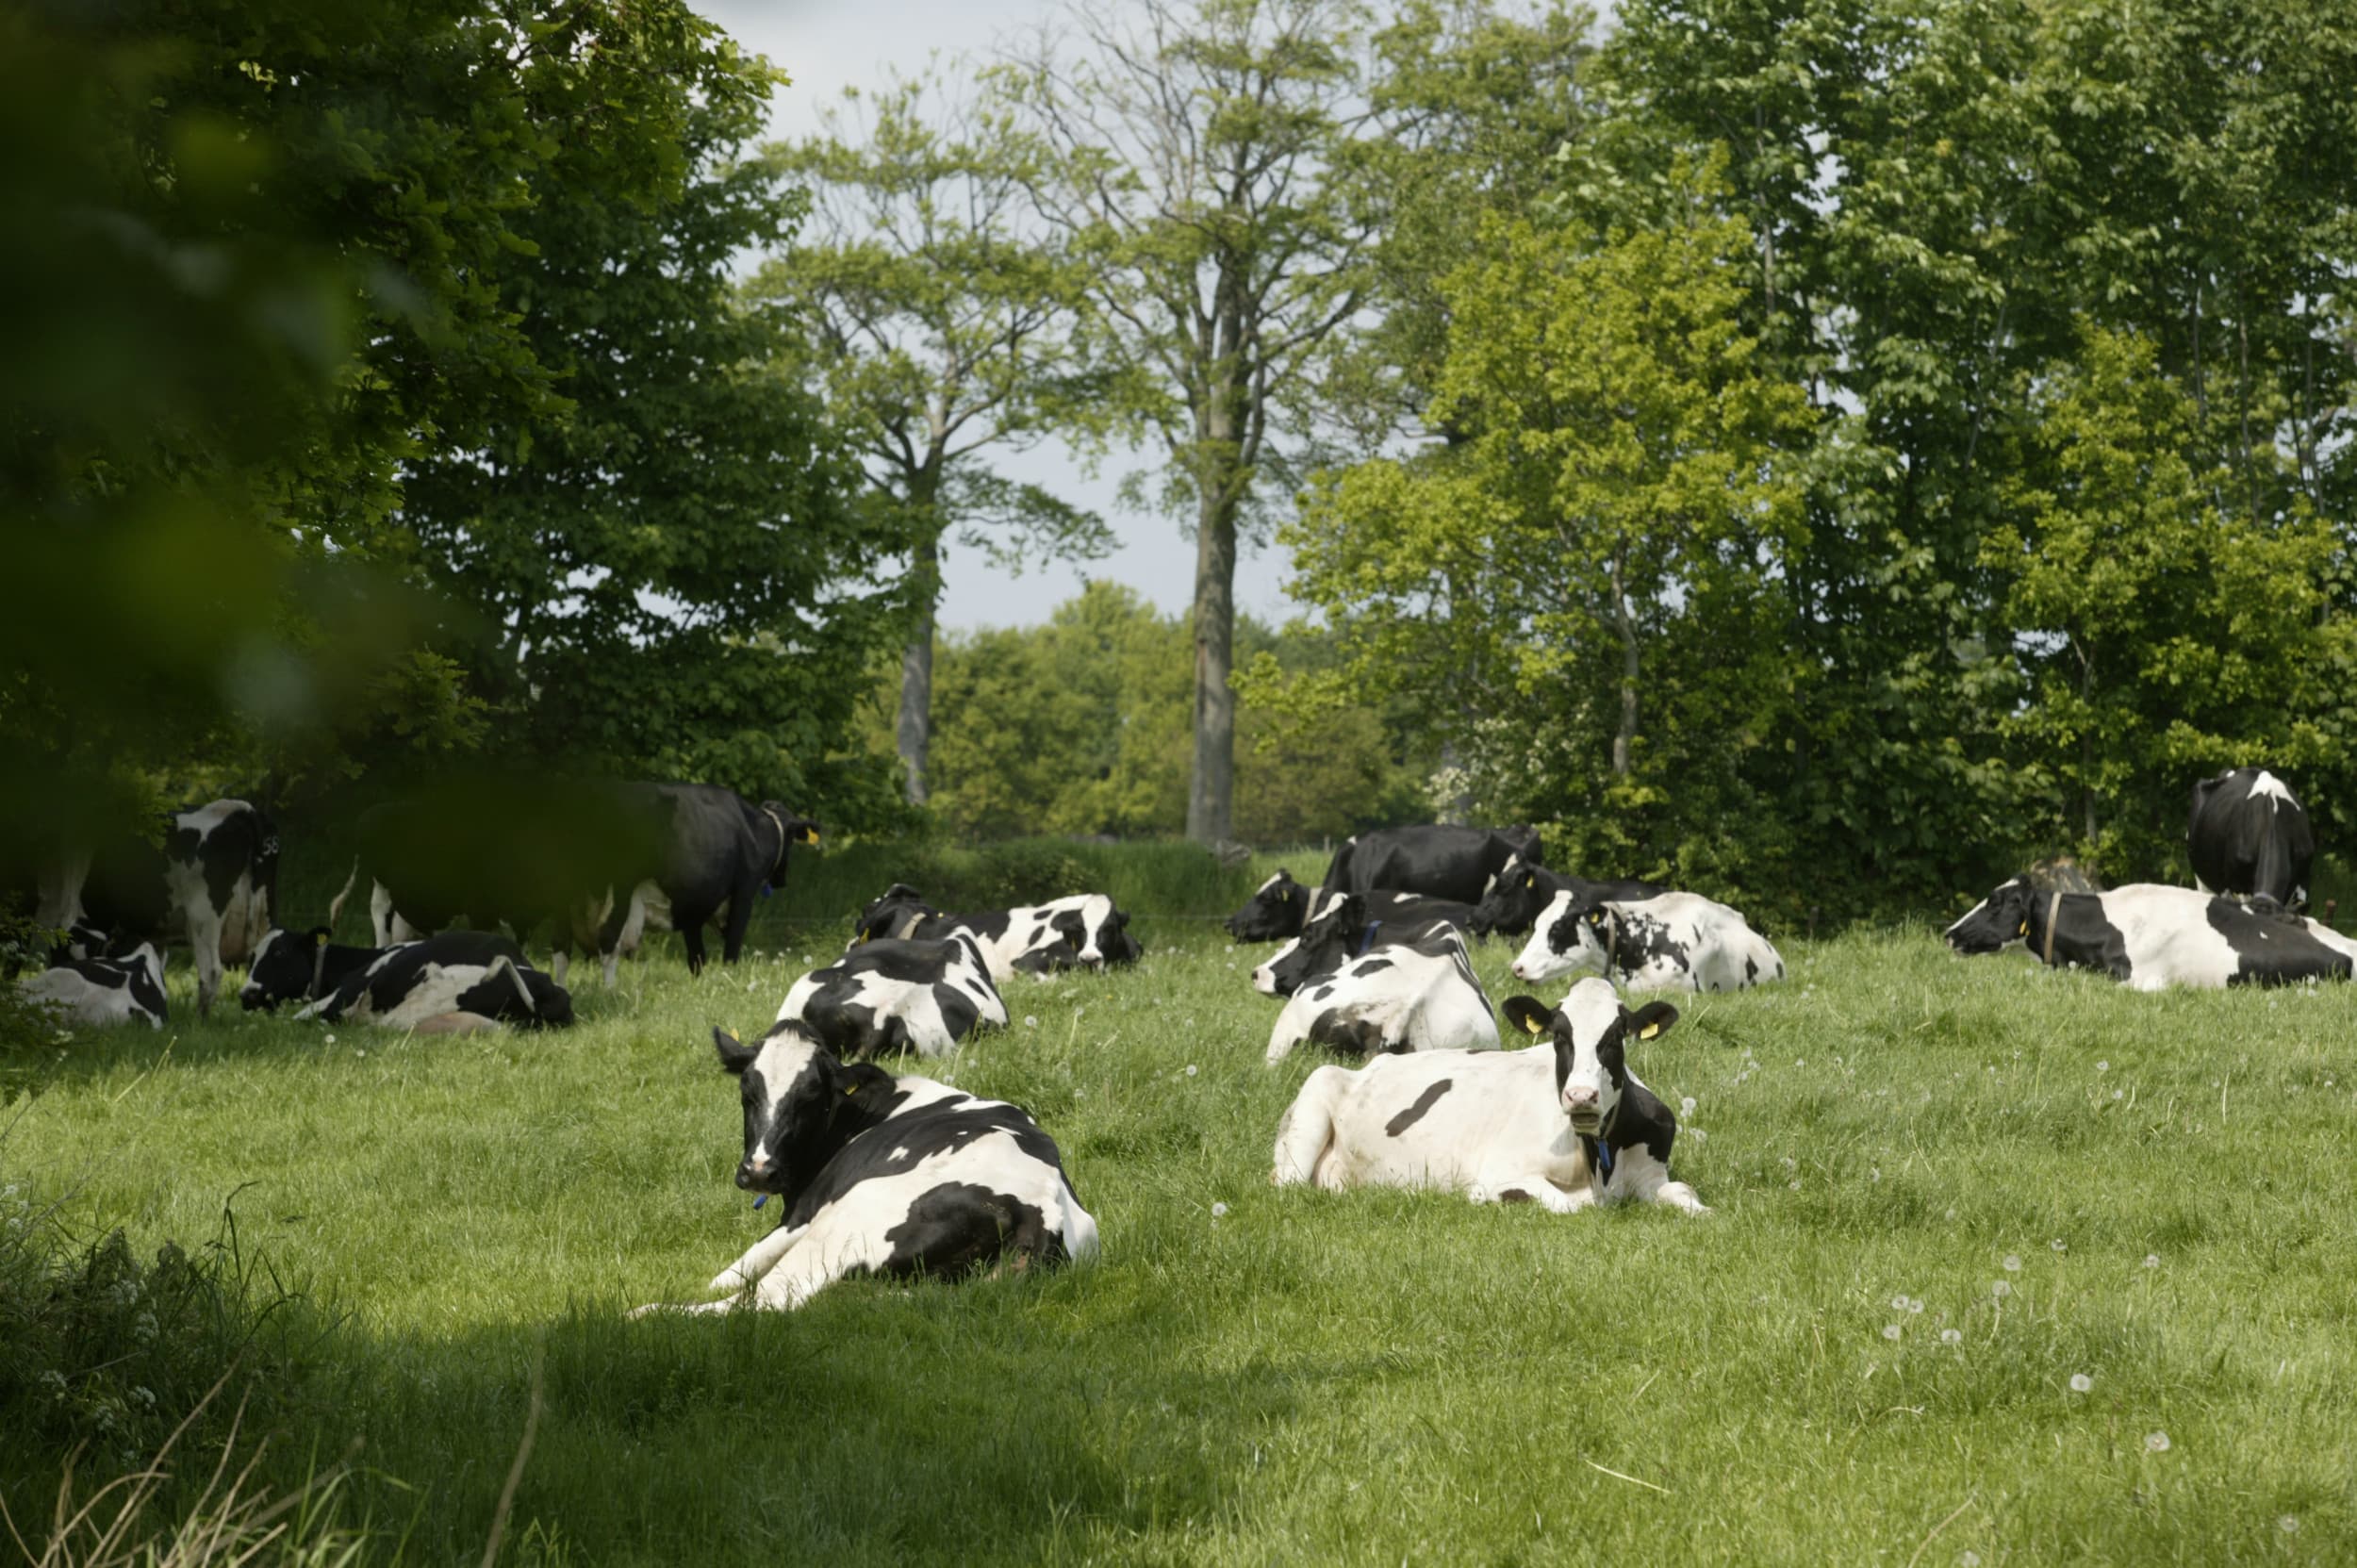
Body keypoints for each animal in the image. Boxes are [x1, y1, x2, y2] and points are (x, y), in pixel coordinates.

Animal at [635, 1022, 1099, 1313]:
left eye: (810, 1098)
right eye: (747, 1093)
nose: (760, 1172)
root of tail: (1043, 1212)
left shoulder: (801, 1215)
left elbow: (729, 1274)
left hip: (845, 1220)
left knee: (764, 1299)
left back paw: (649, 1311)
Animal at [1271, 977, 1704, 1215]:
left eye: (1615, 1037)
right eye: (1559, 1037)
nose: (1581, 1096)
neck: (1599, 1162)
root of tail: (1375, 1063)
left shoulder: (1652, 1175)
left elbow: (1688, 1195)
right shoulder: (1504, 1172)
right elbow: (1567, 1203)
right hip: (1312, 1103)